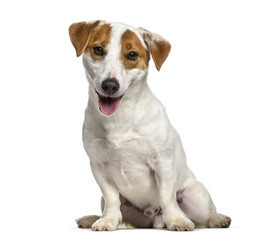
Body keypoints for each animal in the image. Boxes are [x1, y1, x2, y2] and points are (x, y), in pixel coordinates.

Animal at [67, 20, 231, 231]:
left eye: (132, 55)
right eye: (98, 50)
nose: (110, 85)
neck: (120, 117)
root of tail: (153, 219)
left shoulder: (163, 163)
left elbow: (167, 197)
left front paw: (176, 220)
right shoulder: (99, 167)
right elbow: (112, 199)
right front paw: (107, 221)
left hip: (195, 195)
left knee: (203, 217)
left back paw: (216, 219)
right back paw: (94, 218)